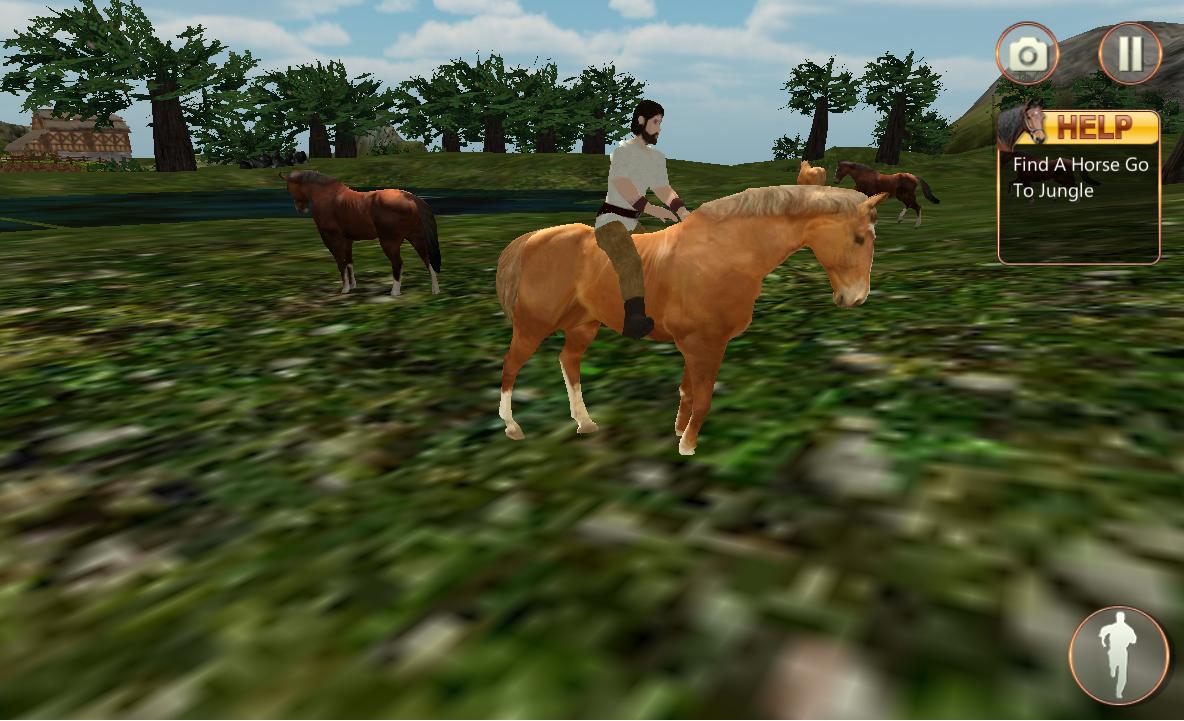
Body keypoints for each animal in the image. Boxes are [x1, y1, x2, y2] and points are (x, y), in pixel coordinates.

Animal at [280, 170, 441, 296]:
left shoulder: (332, 238)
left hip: (390, 241)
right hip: (416, 237)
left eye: (288, 187)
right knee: (428, 260)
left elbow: (340, 263)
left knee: (398, 264)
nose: (300, 209)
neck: (327, 197)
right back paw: (435, 290)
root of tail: (413, 199)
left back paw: (394, 292)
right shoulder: (347, 240)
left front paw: (345, 289)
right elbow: (349, 262)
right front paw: (352, 285)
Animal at [495, 185, 890, 456]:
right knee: (511, 365)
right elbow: (702, 398)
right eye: (858, 239)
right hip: (534, 323)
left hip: (583, 324)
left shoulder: (697, 345)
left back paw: (585, 421)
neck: (725, 253)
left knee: (569, 361)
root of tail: (533, 239)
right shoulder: (705, 344)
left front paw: (679, 431)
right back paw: (512, 427)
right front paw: (688, 445)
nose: (855, 297)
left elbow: (687, 391)